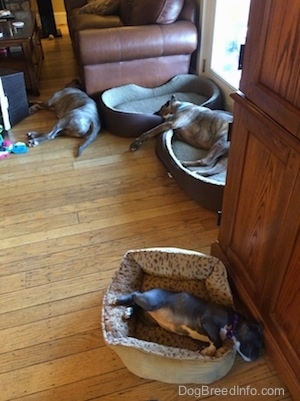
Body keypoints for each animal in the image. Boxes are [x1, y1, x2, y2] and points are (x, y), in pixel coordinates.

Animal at [113, 288, 264, 360]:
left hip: (148, 317)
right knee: (135, 294)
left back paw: (128, 311)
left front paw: (205, 349)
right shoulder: (207, 321)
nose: (256, 357)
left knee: (136, 306)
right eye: (254, 342)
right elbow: (218, 341)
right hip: (151, 302)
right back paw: (119, 301)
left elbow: (211, 341)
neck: (233, 322)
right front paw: (210, 350)